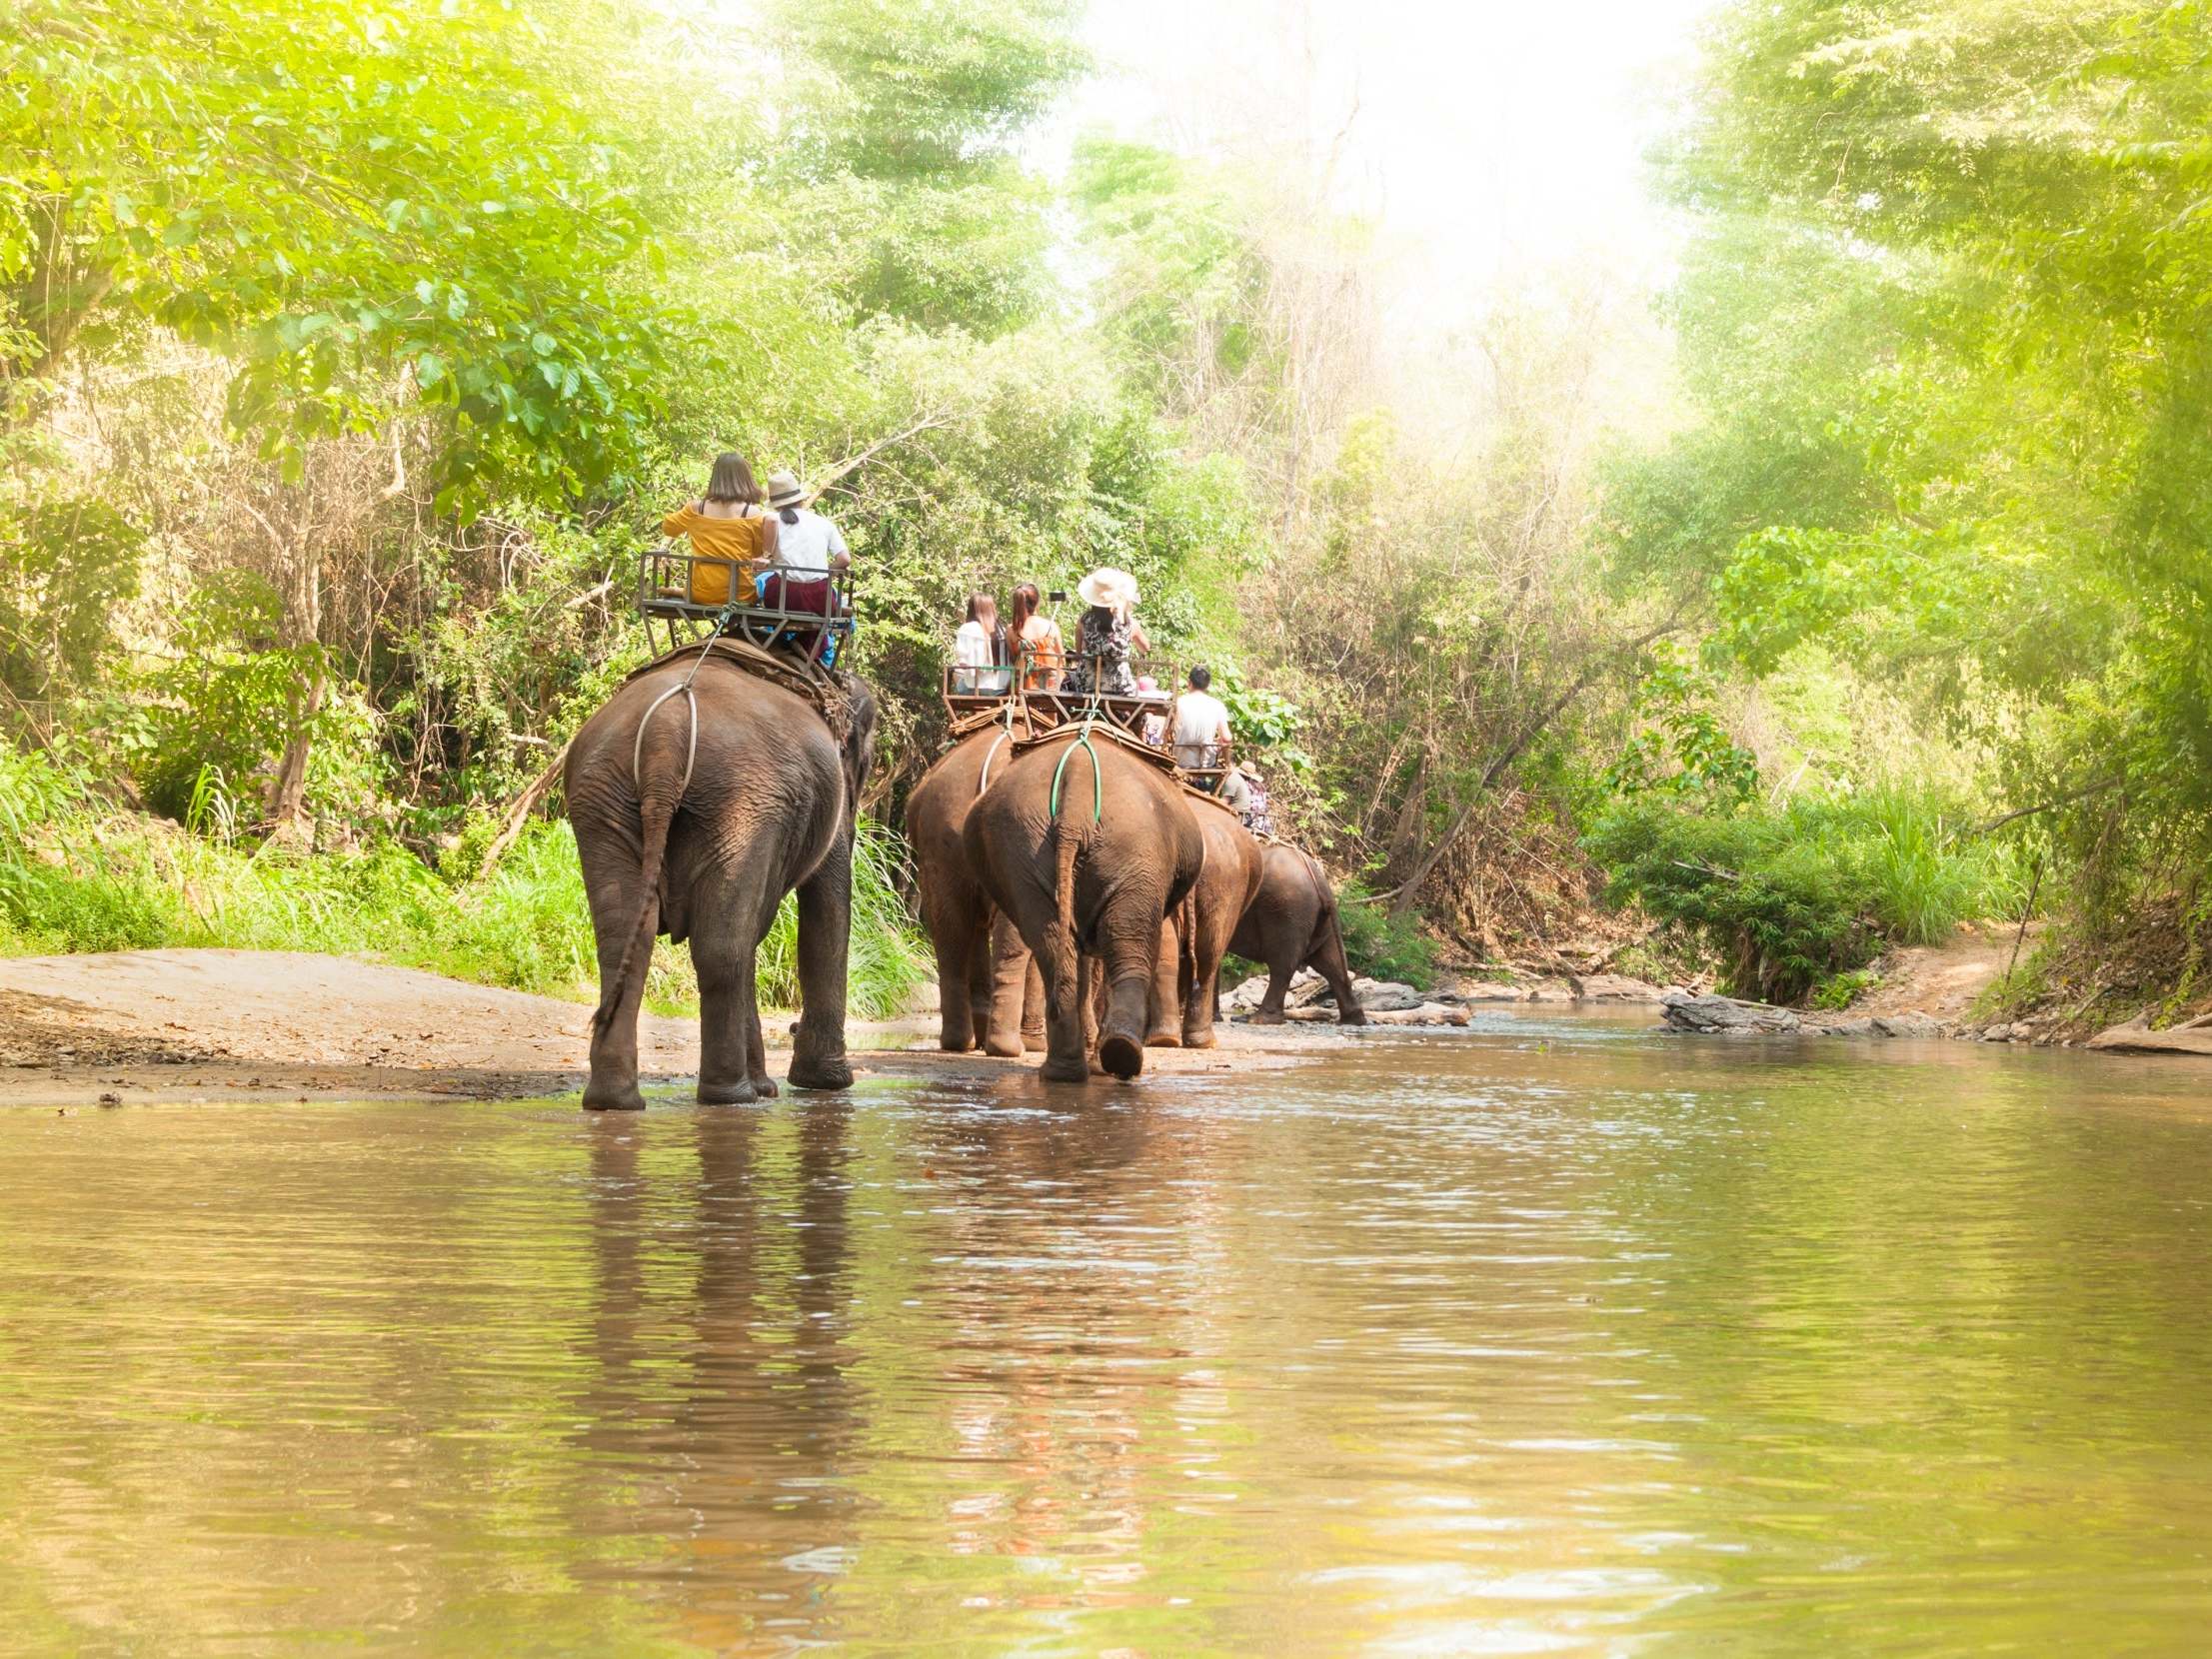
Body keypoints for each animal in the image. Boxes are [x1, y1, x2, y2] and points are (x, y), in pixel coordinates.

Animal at [562, 655, 871, 1110]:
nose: (792, 1028)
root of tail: (665, 734)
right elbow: (826, 908)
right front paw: (825, 1083)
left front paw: (779, 1087)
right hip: (740, 800)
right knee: (723, 948)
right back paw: (732, 1096)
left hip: (605, 798)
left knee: (626, 942)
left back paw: (615, 1102)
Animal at [969, 734, 1202, 1083]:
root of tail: (1077, 784)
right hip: (1134, 852)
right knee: (1126, 943)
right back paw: (1116, 1059)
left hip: (1024, 851)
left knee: (1056, 943)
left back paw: (1070, 1070)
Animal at [1229, 844, 1362, 1025]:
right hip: (1319, 918)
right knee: (1331, 964)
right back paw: (1353, 1020)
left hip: (1287, 912)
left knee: (1282, 965)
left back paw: (1259, 1019)